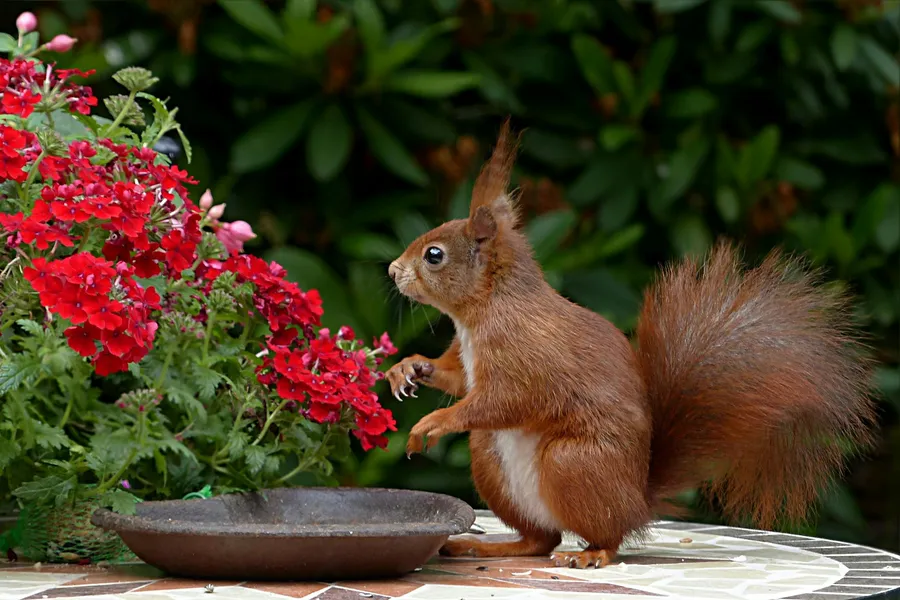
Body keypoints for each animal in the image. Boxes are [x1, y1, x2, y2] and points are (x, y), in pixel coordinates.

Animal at [385, 121, 876, 569]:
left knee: (605, 535)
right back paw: (487, 546)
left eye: (434, 255)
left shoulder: (526, 353)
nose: (392, 270)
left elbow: (506, 399)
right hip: (491, 460)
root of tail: (638, 501)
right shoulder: (468, 358)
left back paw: (590, 553)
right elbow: (457, 378)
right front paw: (408, 368)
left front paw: (434, 421)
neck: (484, 311)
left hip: (573, 463)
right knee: (540, 539)